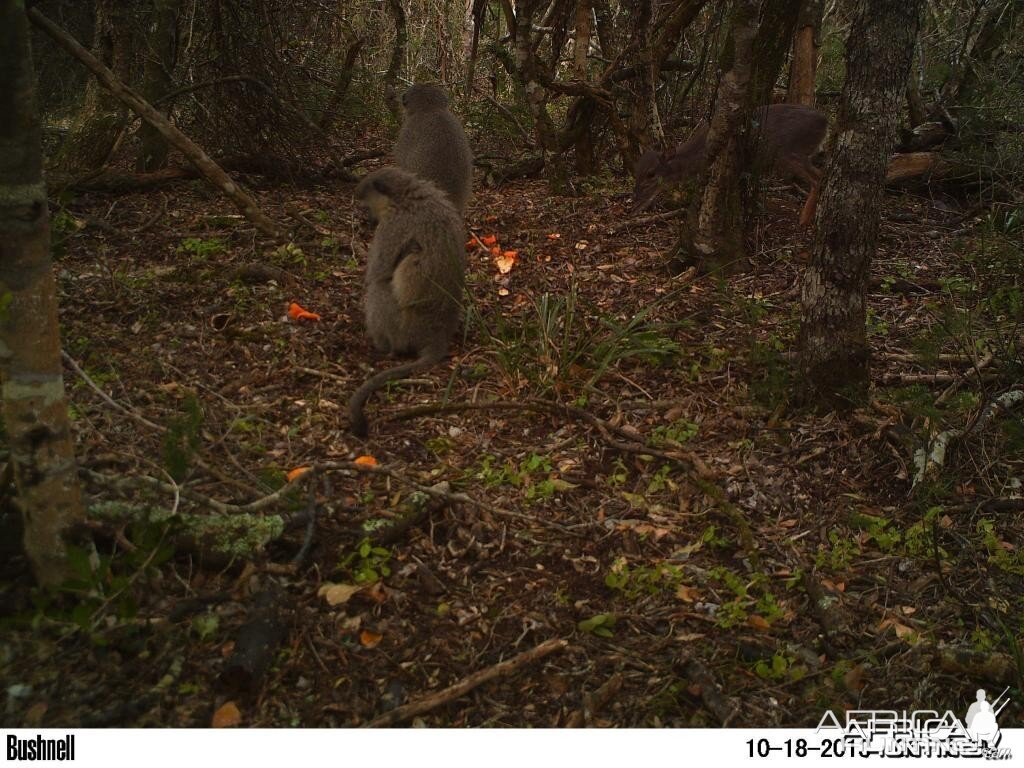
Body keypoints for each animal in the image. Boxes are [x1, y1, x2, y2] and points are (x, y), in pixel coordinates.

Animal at [348, 164, 468, 436]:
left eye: (367, 205)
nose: (368, 220)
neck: (406, 195)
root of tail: (437, 333)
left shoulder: (393, 226)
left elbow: (378, 273)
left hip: (403, 328)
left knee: (378, 290)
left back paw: (385, 347)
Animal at [630, 103, 831, 227]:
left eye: (651, 174)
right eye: (636, 171)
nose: (634, 203)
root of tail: (826, 122)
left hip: (790, 152)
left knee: (818, 177)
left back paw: (804, 219)